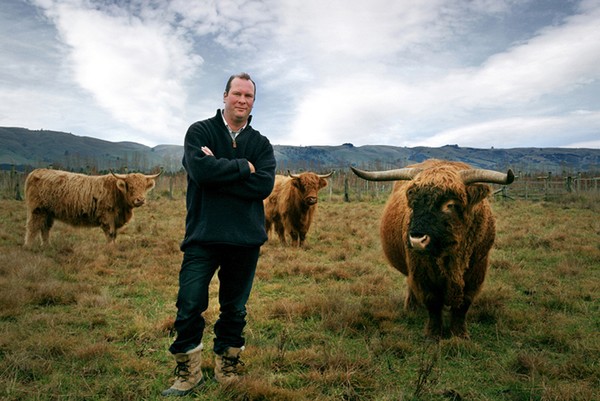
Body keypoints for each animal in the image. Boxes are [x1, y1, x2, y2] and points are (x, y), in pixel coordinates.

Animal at [23, 167, 161, 245]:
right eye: (131, 187)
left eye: (144, 187)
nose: (140, 200)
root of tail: (36, 172)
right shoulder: (107, 217)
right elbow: (110, 234)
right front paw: (110, 249)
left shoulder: (115, 220)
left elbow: (114, 234)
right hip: (37, 210)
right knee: (32, 228)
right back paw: (29, 247)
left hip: (48, 213)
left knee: (45, 228)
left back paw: (47, 246)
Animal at [352, 159, 516, 338]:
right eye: (413, 203)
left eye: (450, 204)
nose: (417, 239)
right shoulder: (422, 271)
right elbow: (432, 302)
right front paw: (433, 334)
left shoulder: (476, 270)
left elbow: (464, 304)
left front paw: (460, 334)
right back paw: (412, 307)